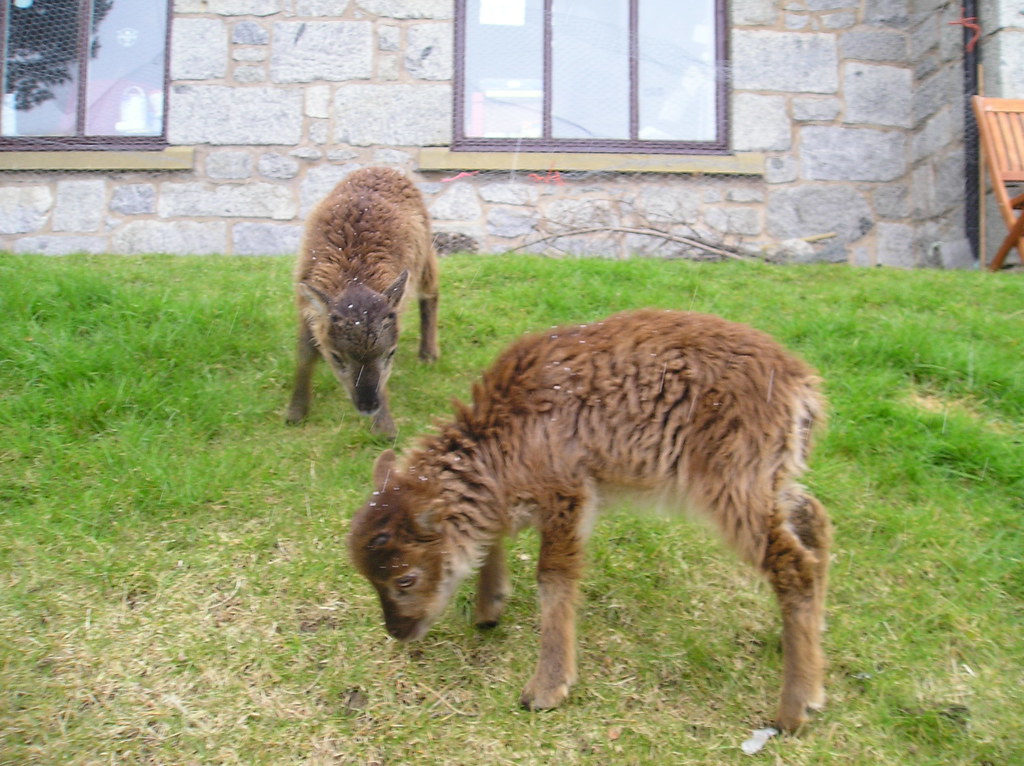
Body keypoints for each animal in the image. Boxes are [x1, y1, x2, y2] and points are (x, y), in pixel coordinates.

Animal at [286, 166, 439, 438]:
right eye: (336, 357)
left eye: (391, 353)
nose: (368, 405)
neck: (354, 271)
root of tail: (383, 168)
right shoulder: (306, 306)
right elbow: (305, 352)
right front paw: (296, 412)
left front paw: (385, 428)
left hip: (424, 255)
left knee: (431, 291)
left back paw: (428, 353)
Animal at [348, 308, 831, 733]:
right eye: (369, 578)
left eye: (405, 578)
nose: (398, 631)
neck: (501, 436)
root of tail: (802, 387)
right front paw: (489, 609)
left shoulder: (568, 492)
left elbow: (553, 578)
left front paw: (546, 689)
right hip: (771, 477)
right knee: (813, 520)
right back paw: (806, 651)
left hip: (732, 484)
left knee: (793, 564)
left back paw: (795, 710)